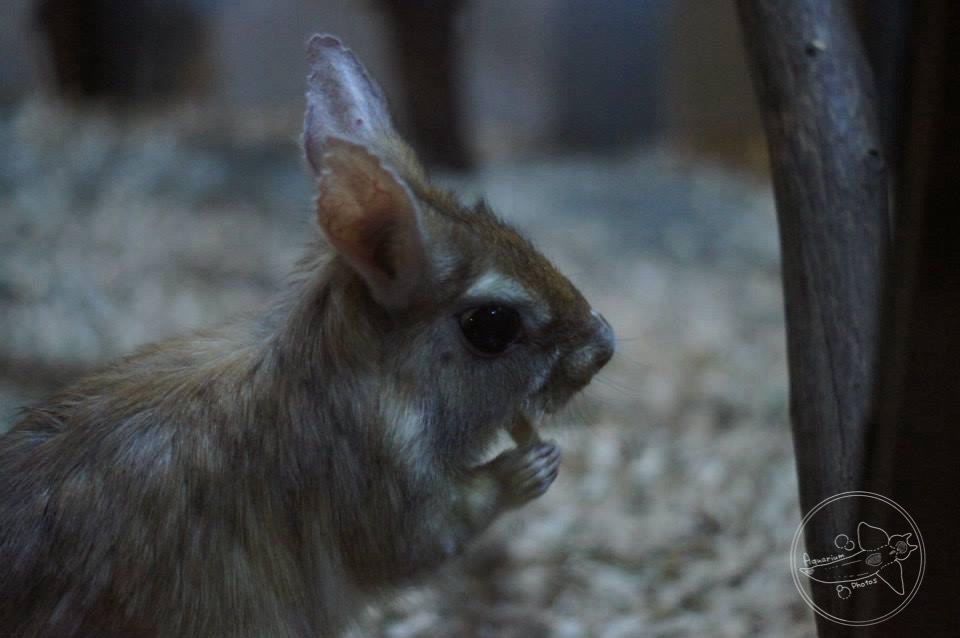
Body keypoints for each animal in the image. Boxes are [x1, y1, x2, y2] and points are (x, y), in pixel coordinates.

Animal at [0, 34, 614, 637]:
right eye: (492, 325)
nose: (604, 347)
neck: (370, 378)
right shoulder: (389, 494)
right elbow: (435, 528)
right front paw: (535, 466)